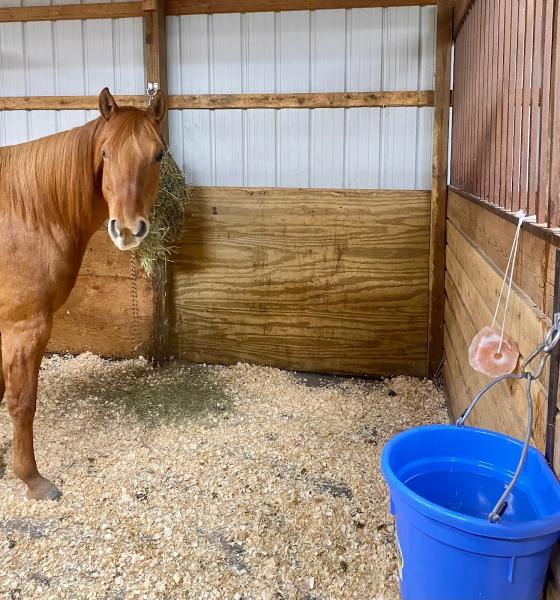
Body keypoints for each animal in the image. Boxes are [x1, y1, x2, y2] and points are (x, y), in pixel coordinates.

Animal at [0, 88, 166, 502]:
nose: (127, 228)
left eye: (158, 154)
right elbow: (22, 402)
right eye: (105, 153)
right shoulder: (24, 326)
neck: (28, 213)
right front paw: (32, 479)